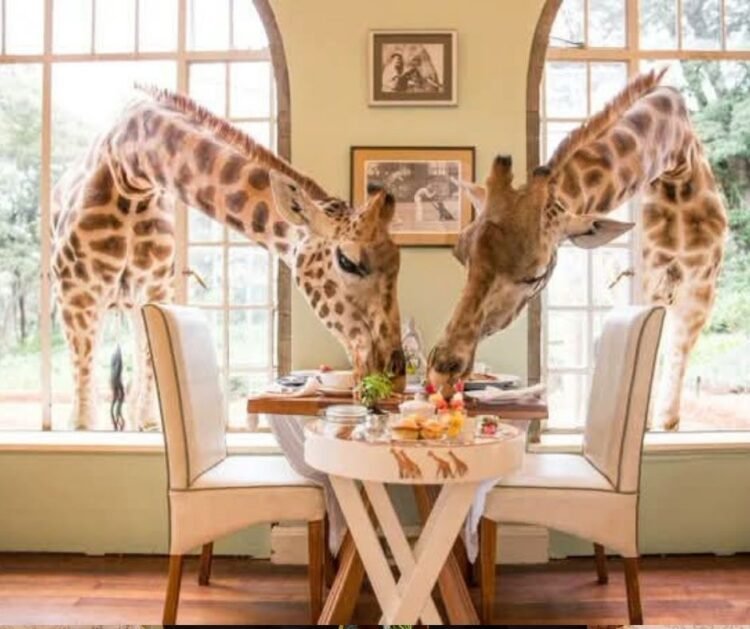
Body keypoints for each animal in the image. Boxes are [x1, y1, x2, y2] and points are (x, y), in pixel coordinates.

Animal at [52, 86, 405, 430]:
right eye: (347, 261)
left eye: (398, 263)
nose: (397, 375)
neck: (131, 169)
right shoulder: (77, 292)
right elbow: (83, 417)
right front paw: (81, 424)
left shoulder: (156, 288)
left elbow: (147, 368)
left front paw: (148, 422)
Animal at [428, 69, 727, 431]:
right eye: (461, 256)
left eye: (537, 274)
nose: (442, 372)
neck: (676, 161)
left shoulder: (697, 291)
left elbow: (668, 411)